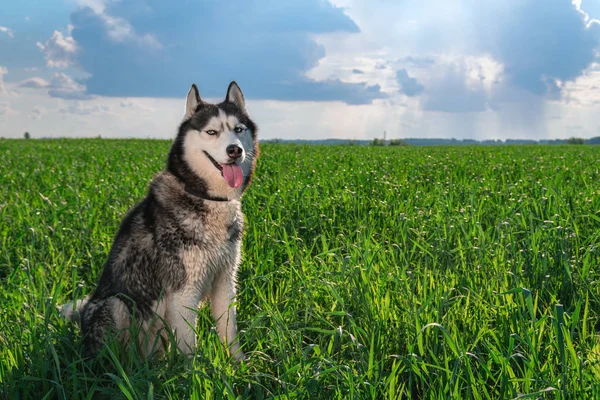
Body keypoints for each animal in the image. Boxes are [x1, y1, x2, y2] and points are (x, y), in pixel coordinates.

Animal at [60, 82, 258, 362]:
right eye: (212, 132)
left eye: (238, 129)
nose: (235, 150)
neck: (205, 197)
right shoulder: (184, 289)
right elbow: (189, 345)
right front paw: (193, 372)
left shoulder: (225, 280)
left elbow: (230, 332)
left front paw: (238, 366)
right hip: (117, 304)